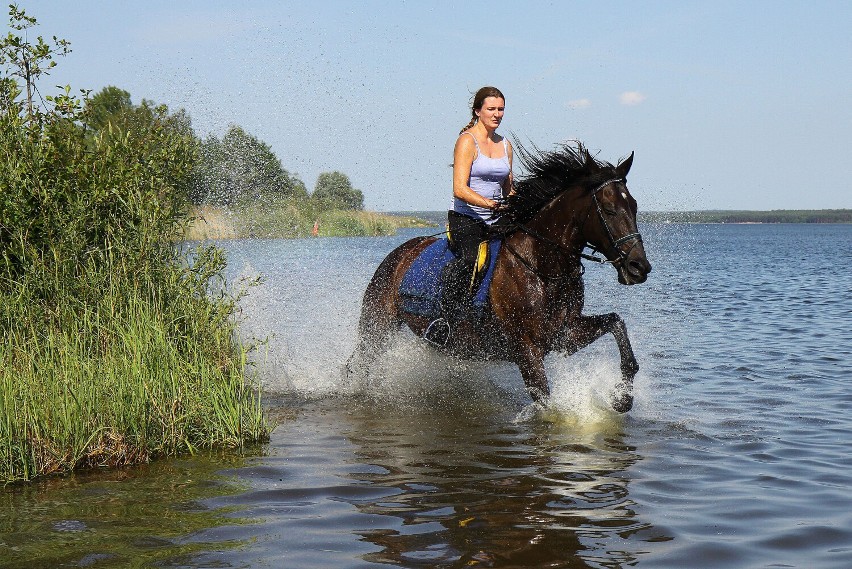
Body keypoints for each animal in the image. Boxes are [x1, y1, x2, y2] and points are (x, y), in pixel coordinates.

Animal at [346, 140, 652, 410]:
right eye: (609, 210)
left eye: (635, 206)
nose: (639, 267)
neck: (541, 268)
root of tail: (399, 253)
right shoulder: (525, 348)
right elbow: (545, 401)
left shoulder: (565, 335)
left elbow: (617, 324)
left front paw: (622, 399)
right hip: (378, 324)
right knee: (358, 363)